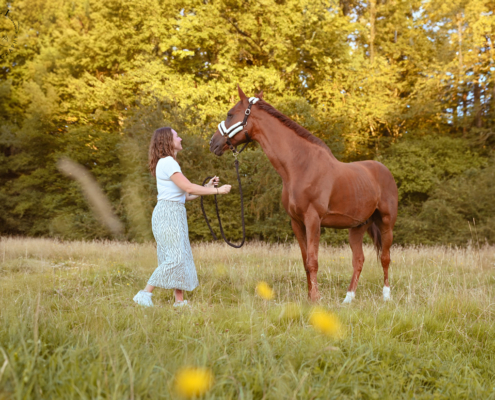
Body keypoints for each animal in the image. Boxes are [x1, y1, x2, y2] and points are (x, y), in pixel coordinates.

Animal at [209, 86, 400, 302]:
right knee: (358, 260)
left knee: (385, 258)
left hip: (386, 223)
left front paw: (315, 298)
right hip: (357, 227)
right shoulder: (297, 222)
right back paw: (348, 299)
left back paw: (386, 296)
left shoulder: (313, 220)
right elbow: (305, 262)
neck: (300, 166)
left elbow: (313, 261)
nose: (213, 143)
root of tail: (384, 170)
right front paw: (310, 298)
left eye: (230, 114)